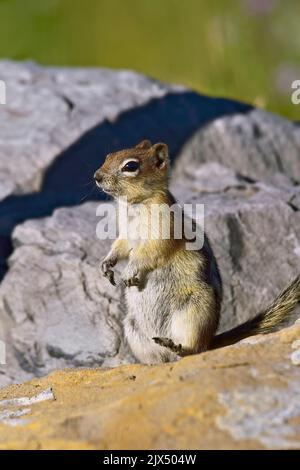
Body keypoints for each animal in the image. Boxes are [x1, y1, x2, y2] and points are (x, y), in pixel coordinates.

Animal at [94, 140, 300, 364]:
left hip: (194, 313)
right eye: (108, 156)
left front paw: (128, 271)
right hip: (132, 328)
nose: (97, 176)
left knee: (195, 349)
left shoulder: (163, 231)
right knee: (159, 358)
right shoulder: (126, 235)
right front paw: (107, 264)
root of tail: (211, 339)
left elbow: (150, 253)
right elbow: (120, 247)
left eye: (130, 166)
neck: (134, 205)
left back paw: (178, 347)